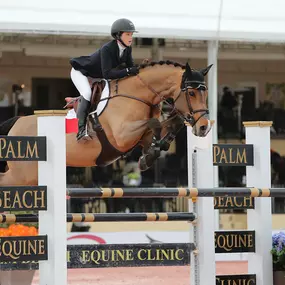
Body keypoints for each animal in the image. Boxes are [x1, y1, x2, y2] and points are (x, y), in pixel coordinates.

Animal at [0, 60, 211, 185]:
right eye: (192, 93)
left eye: (205, 93)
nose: (204, 127)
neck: (138, 94)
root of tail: (17, 122)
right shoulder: (122, 136)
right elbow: (155, 123)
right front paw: (150, 154)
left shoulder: (139, 136)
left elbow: (170, 124)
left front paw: (151, 153)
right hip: (23, 176)